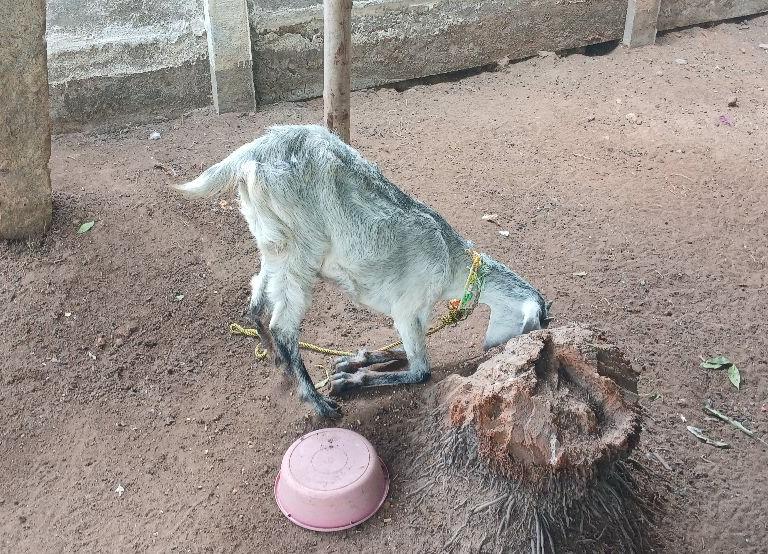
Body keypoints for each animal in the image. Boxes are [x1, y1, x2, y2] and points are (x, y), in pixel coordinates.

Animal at [175, 124, 550, 418]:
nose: (496, 353)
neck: (453, 264)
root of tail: (258, 149)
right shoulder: (409, 306)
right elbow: (421, 370)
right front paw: (349, 380)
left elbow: (399, 351)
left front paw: (351, 362)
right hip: (301, 248)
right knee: (283, 325)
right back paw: (319, 402)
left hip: (272, 240)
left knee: (256, 301)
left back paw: (278, 362)